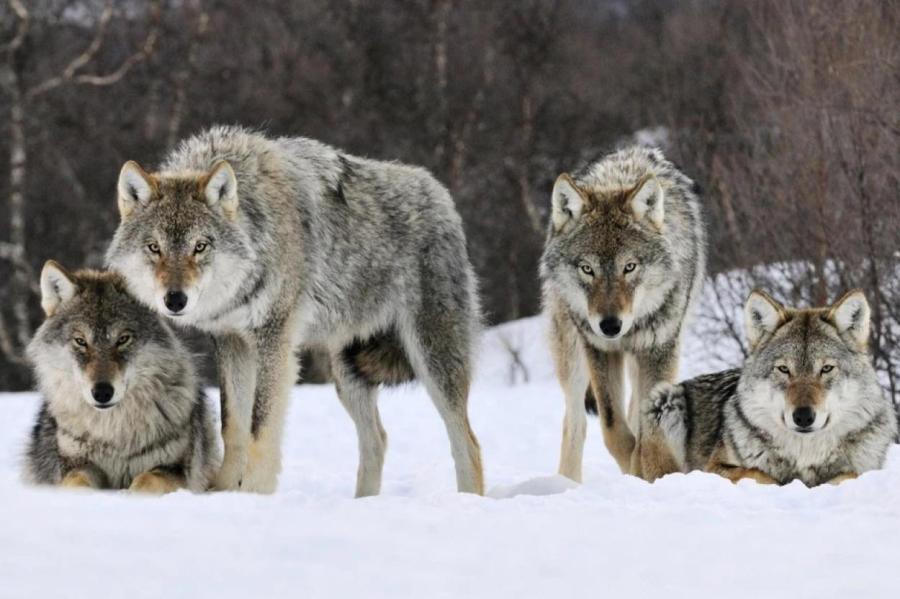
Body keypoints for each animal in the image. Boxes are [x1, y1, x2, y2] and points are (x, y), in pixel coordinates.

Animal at [22, 262, 220, 492]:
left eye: (123, 339)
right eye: (80, 341)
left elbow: (146, 481)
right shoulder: (75, 465)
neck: (113, 434)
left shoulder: (174, 469)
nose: (102, 392)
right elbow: (76, 483)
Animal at [107, 124, 486, 494]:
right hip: (347, 374)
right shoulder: (232, 342)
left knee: (468, 444)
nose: (175, 300)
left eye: (200, 247)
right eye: (154, 247)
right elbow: (233, 427)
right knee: (377, 439)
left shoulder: (274, 340)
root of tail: (441, 194)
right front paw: (224, 491)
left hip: (432, 361)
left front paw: (254, 494)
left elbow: (260, 429)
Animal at [536, 146, 708, 482]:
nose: (610, 325)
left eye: (629, 267)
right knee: (575, 422)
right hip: (572, 355)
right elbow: (613, 428)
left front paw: (647, 471)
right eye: (587, 269)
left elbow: (646, 428)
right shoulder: (599, 349)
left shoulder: (660, 349)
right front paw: (633, 467)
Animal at [644, 288, 896, 486]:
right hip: (664, 399)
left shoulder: (863, 470)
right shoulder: (714, 468)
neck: (805, 455)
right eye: (784, 369)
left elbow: (849, 475)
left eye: (826, 369)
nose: (803, 416)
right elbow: (759, 474)